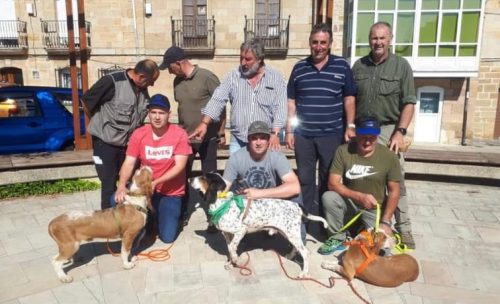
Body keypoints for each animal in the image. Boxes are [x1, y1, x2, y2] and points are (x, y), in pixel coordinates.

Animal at [190, 172, 328, 276]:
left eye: (203, 177)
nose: (189, 178)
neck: (222, 202)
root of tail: (297, 206)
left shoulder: (241, 230)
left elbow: (233, 248)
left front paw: (235, 259)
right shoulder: (227, 234)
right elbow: (230, 249)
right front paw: (231, 263)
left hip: (291, 233)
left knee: (305, 252)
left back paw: (304, 273)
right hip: (288, 233)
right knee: (297, 248)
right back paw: (290, 256)